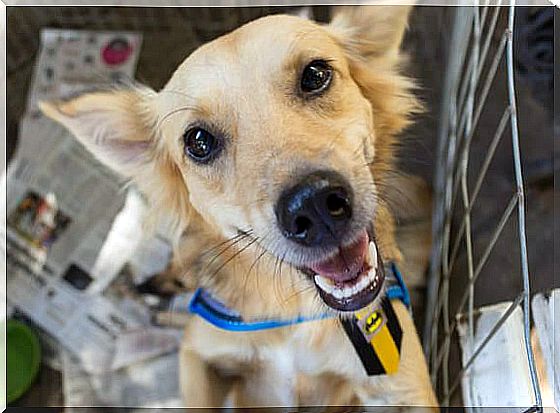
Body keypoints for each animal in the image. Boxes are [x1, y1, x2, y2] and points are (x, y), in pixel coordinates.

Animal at [41, 6, 440, 408]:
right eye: (199, 142)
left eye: (315, 75)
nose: (313, 206)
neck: (296, 313)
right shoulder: (196, 353)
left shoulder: (402, 386)